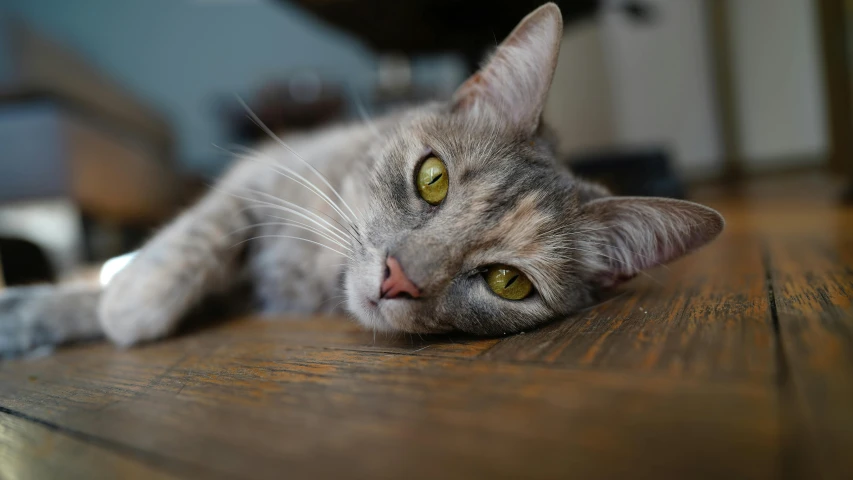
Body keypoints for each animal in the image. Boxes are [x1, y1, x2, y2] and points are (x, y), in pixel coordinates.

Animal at [0, 2, 724, 356]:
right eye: (431, 179)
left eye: (507, 282)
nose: (396, 279)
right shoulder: (263, 170)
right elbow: (195, 240)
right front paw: (118, 302)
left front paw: (76, 311)